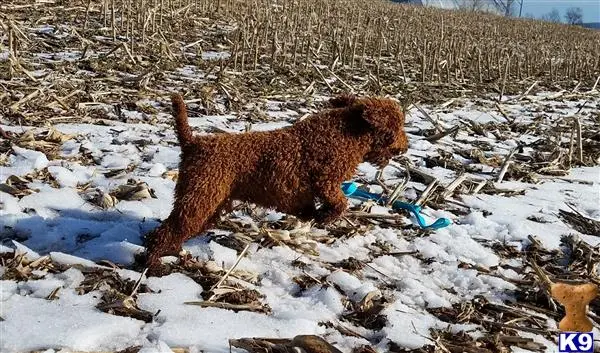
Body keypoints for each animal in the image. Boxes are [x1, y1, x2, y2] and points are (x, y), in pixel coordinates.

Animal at [144, 92, 408, 270]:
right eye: (398, 125)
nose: (405, 147)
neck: (346, 133)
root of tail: (192, 142)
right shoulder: (327, 180)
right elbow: (339, 204)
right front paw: (324, 216)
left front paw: (314, 215)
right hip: (199, 196)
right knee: (168, 230)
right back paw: (154, 262)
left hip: (210, 201)